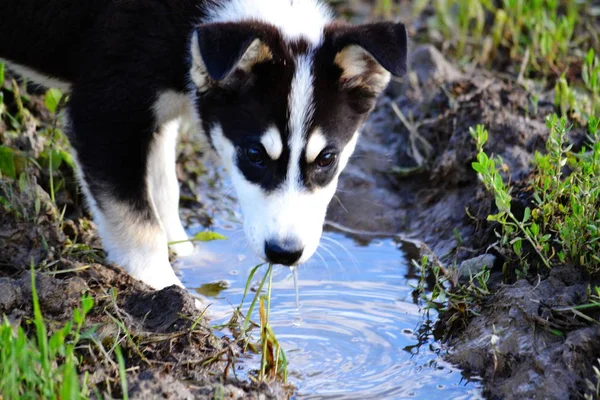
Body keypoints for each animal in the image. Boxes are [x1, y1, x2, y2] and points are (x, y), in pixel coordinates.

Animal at [0, 0, 408, 288]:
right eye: (254, 154)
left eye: (326, 158)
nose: (285, 254)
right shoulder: (103, 113)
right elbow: (136, 217)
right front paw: (164, 286)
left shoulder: (156, 114)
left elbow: (163, 189)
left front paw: (187, 254)